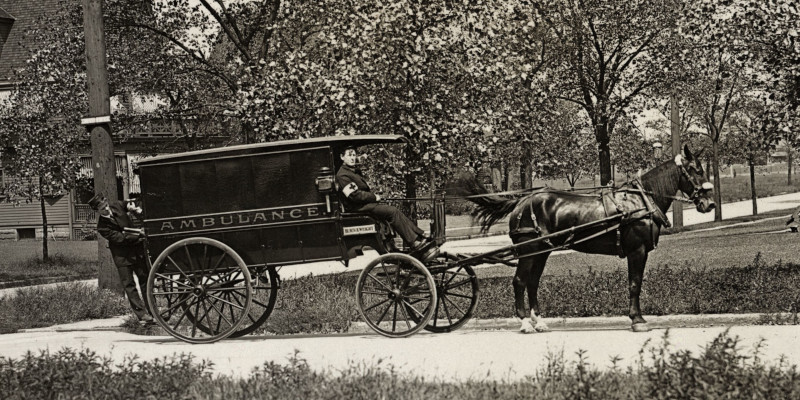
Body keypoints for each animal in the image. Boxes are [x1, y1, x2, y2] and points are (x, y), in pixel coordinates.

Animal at [454, 145, 716, 332]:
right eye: (696, 169)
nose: (709, 203)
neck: (640, 201)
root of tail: (521, 201)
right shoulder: (637, 251)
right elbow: (635, 284)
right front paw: (637, 320)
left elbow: (635, 284)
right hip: (529, 250)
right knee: (519, 281)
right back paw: (525, 323)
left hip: (542, 252)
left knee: (532, 283)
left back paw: (539, 322)